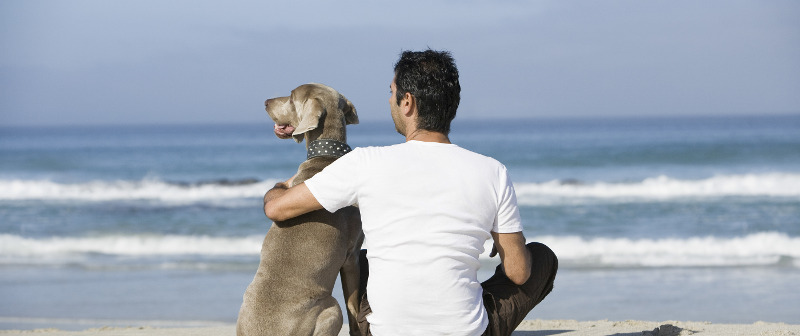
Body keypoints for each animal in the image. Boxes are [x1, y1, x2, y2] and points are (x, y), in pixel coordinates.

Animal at [236, 82, 364, 334]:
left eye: (291, 97)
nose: (265, 101)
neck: (327, 154)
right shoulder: (352, 254)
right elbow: (353, 310)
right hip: (331, 308)